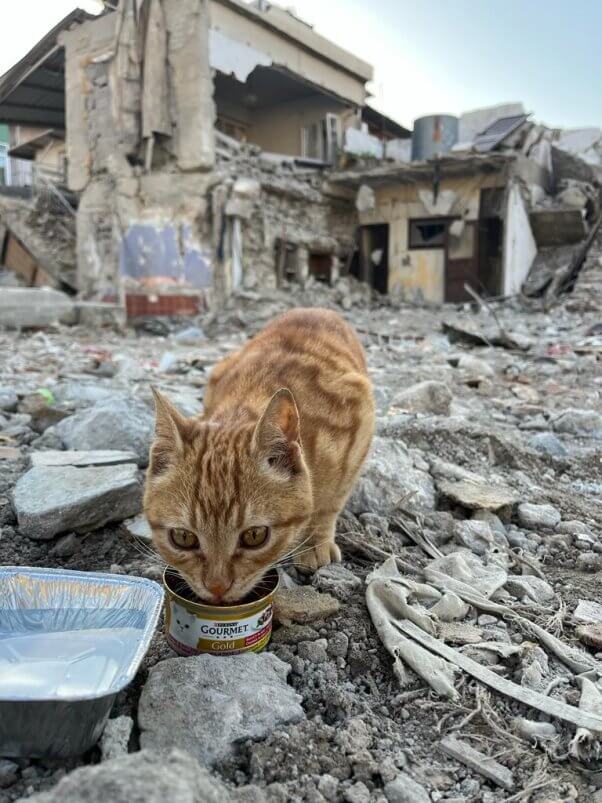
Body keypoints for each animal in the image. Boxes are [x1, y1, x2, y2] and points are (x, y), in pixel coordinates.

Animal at [143, 308, 372, 604]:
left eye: (255, 536)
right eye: (182, 537)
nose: (217, 587)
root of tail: (317, 309)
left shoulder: (360, 425)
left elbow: (330, 503)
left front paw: (315, 540)